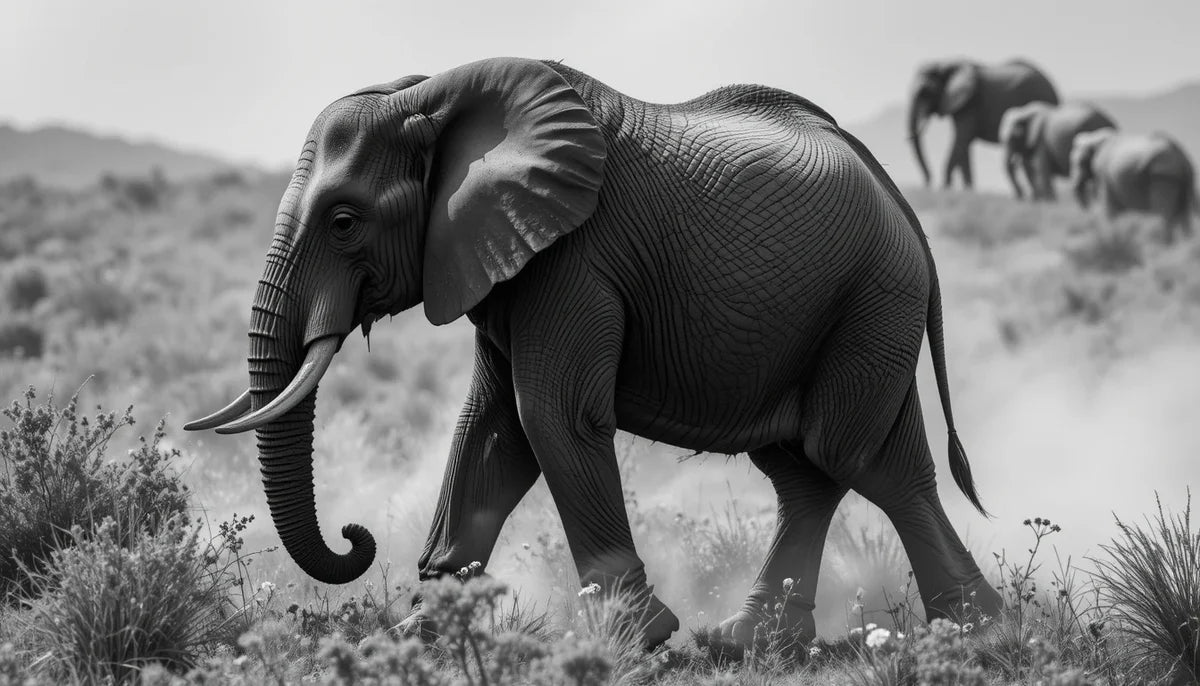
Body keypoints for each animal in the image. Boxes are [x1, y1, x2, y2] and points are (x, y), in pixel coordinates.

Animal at [186, 57, 1004, 650]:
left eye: (345, 221)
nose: (356, 536)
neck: (435, 94)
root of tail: (900, 199)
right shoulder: (507, 260)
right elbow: (492, 431)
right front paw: (421, 635)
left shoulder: (574, 257)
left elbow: (552, 418)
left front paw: (636, 640)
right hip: (853, 314)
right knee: (829, 469)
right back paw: (761, 640)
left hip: (871, 299)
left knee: (851, 459)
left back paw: (971, 632)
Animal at [908, 58, 1059, 191]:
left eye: (926, 93)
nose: (928, 182)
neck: (947, 62)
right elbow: (963, 144)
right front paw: (967, 190)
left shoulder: (970, 103)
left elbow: (961, 139)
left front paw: (946, 188)